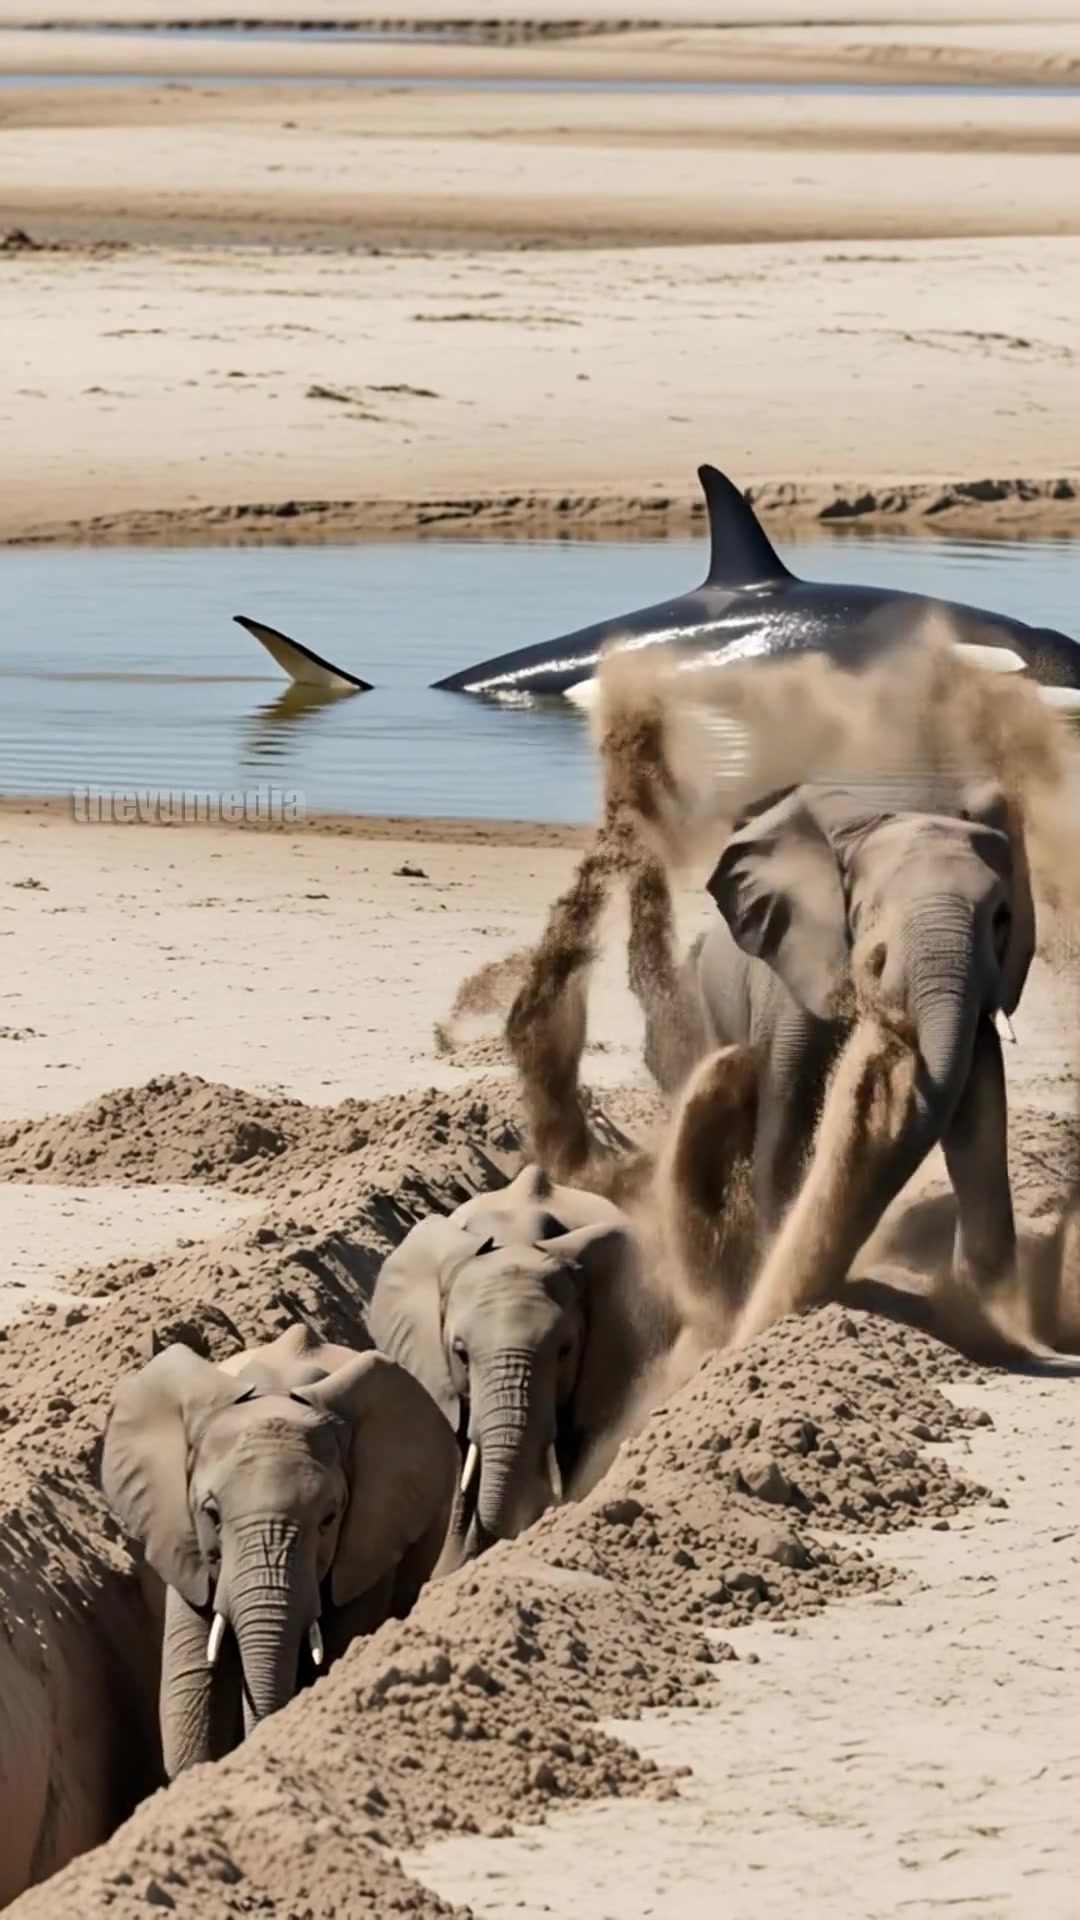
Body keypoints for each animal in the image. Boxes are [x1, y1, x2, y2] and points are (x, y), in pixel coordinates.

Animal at [101, 1323, 458, 1778]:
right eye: (211, 1514)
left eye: (329, 1518)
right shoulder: (183, 1541)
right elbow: (191, 1681)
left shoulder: (369, 1543)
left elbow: (337, 1650)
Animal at [691, 777, 1035, 1305]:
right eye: (869, 912)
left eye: (1002, 918)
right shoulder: (795, 982)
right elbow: (787, 1116)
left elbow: (979, 1123)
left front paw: (985, 1307)